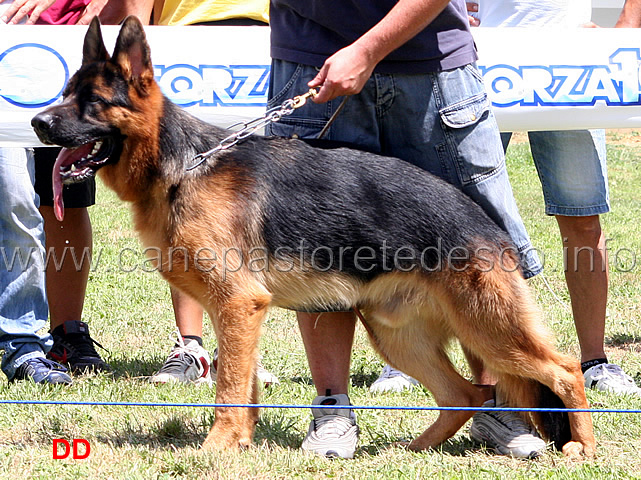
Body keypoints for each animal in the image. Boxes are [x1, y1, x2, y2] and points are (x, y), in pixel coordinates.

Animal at [32, 16, 596, 456]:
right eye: (65, 94)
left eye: (92, 101)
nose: (37, 122)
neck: (182, 166)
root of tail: (487, 224)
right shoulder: (238, 312)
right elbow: (243, 384)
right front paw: (240, 444)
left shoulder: (238, 304)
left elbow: (229, 386)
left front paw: (215, 449)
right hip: (398, 336)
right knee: (466, 395)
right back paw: (411, 450)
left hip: (489, 328)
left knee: (563, 371)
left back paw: (580, 448)